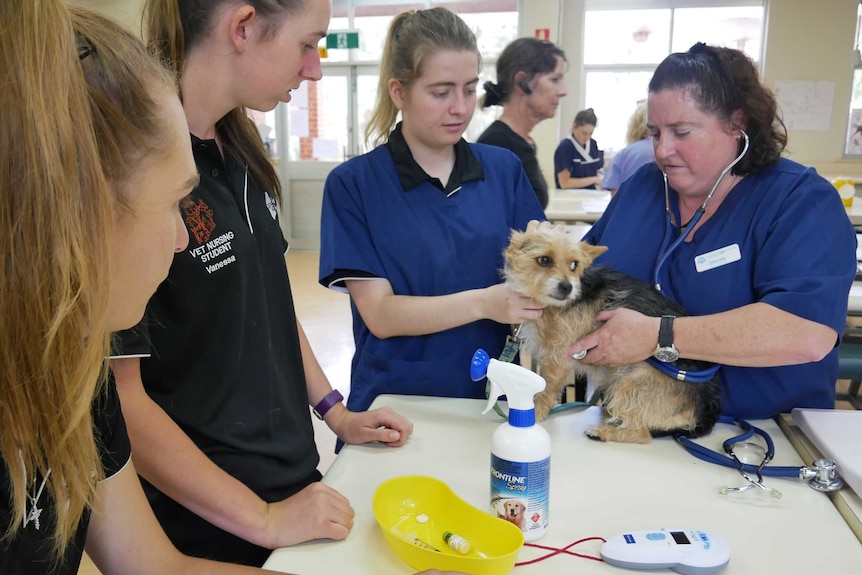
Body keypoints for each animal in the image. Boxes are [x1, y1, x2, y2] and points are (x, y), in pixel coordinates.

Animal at [506, 226, 724, 446]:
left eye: (574, 265)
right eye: (544, 260)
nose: (567, 287)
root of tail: (705, 406)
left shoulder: (558, 357)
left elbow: (547, 388)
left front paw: (534, 413)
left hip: (628, 385)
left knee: (642, 434)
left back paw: (602, 432)